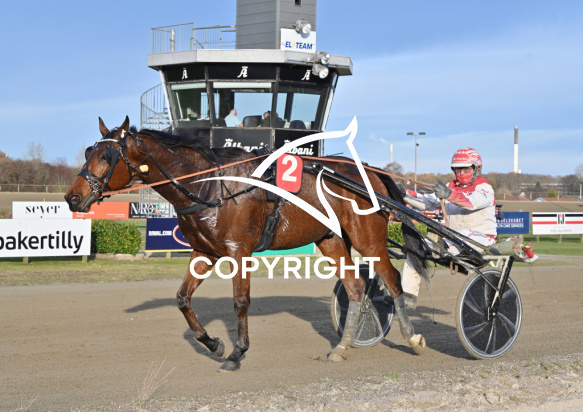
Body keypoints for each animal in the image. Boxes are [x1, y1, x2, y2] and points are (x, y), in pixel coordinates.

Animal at [65, 116, 430, 372]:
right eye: (88, 152)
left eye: (107, 155)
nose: (73, 197)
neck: (210, 184)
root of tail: (373, 172)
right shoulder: (204, 252)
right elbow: (182, 298)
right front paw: (213, 344)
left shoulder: (239, 252)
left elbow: (240, 302)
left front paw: (237, 353)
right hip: (330, 240)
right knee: (355, 287)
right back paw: (341, 347)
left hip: (368, 239)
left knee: (392, 281)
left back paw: (412, 338)